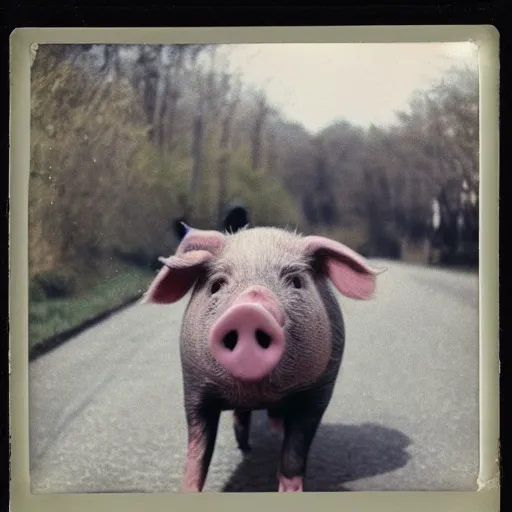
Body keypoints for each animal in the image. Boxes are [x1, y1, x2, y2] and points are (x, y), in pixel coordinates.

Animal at [142, 224, 382, 492]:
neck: (258, 395)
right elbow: (197, 450)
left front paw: (289, 491)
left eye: (296, 282)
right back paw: (245, 446)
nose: (249, 311)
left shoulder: (320, 391)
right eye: (216, 285)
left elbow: (295, 451)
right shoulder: (194, 385)